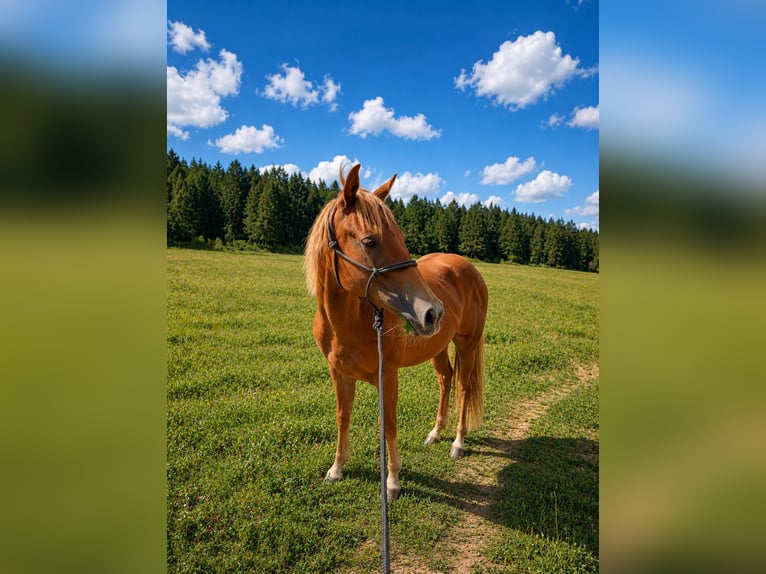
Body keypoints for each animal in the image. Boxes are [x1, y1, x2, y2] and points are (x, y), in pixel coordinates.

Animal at [304, 163, 488, 500]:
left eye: (400, 236)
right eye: (370, 241)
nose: (433, 312)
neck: (349, 325)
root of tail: (468, 268)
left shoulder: (387, 375)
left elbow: (387, 424)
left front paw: (391, 481)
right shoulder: (339, 374)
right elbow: (342, 418)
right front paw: (337, 469)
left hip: (467, 343)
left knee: (464, 386)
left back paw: (458, 443)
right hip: (438, 345)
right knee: (446, 379)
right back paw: (435, 433)